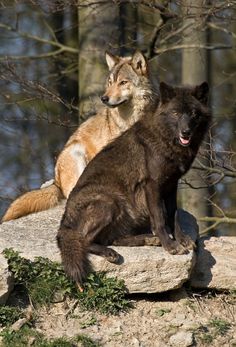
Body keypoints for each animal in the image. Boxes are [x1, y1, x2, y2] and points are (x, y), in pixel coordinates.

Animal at [1, 51, 159, 223]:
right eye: (110, 82)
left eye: (123, 82)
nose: (104, 98)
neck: (131, 118)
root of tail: (56, 182)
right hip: (76, 151)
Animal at [56, 83, 210, 284]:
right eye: (175, 113)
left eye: (193, 114)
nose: (186, 132)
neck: (165, 139)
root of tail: (64, 223)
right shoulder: (152, 185)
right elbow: (160, 219)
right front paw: (170, 245)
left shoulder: (172, 185)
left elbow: (173, 215)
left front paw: (182, 240)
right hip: (110, 202)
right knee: (85, 240)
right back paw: (111, 252)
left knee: (112, 239)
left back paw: (147, 240)